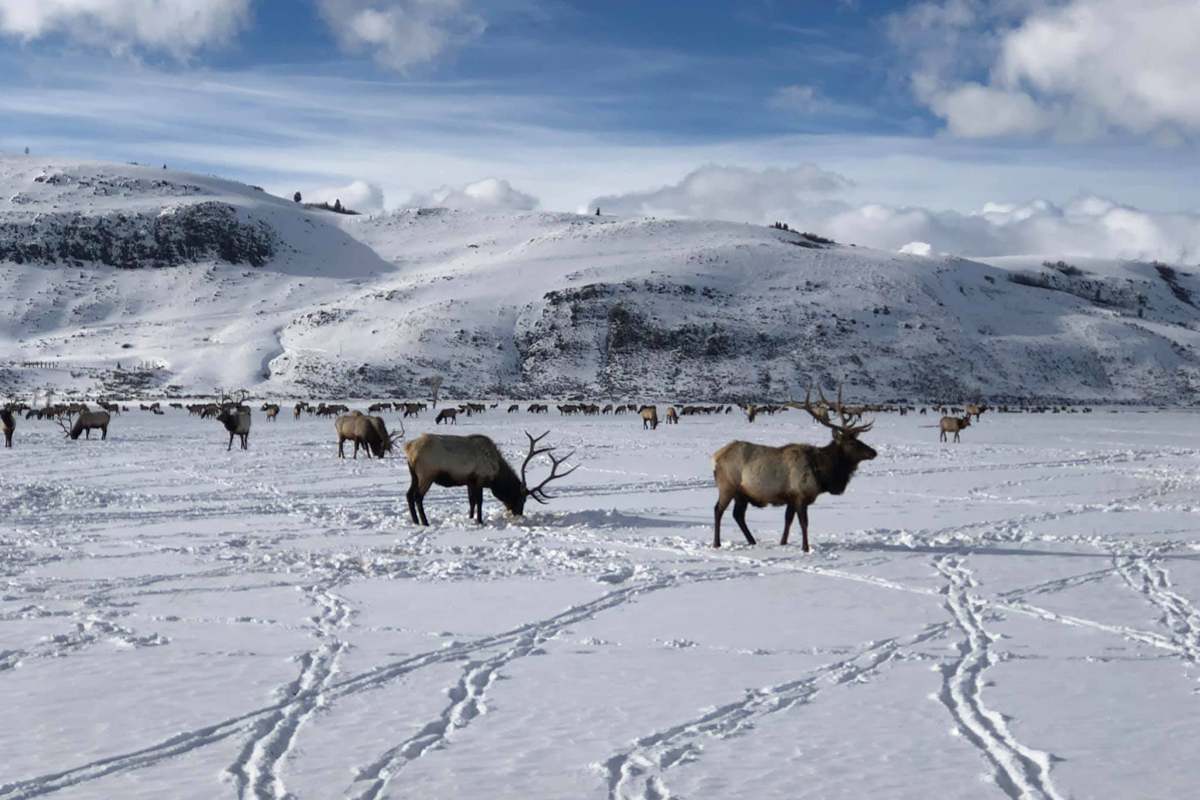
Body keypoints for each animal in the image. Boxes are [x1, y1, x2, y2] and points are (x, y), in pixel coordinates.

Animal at [404, 431, 577, 525]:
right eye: (522, 499)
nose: (519, 514)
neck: (496, 474)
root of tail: (408, 447)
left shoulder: (470, 481)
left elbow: (472, 501)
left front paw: (471, 518)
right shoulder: (480, 478)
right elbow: (479, 501)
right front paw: (480, 521)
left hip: (414, 475)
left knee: (408, 494)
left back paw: (415, 521)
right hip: (427, 474)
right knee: (417, 496)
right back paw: (425, 522)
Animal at [712, 383, 876, 551]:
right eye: (851, 442)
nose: (873, 452)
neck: (822, 473)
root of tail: (716, 457)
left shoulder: (791, 497)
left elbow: (788, 520)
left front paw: (783, 543)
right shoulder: (801, 494)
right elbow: (804, 523)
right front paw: (805, 548)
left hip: (742, 493)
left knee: (738, 515)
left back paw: (752, 541)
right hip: (727, 486)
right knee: (718, 510)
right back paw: (717, 543)